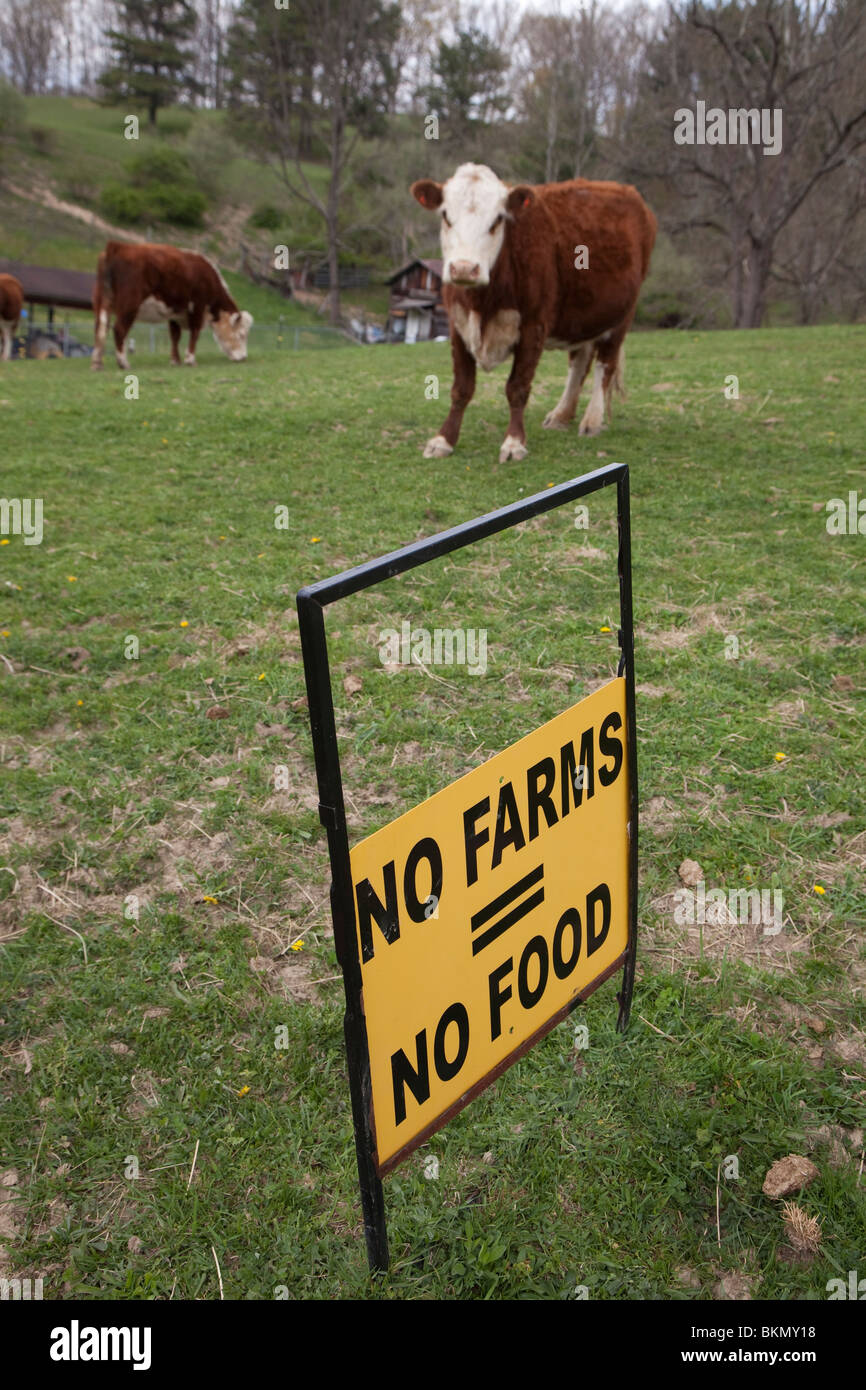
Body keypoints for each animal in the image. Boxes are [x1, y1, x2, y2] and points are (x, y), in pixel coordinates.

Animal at [92, 241, 254, 369]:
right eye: (241, 334)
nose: (244, 357)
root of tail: (117, 247)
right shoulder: (197, 307)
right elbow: (195, 333)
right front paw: (190, 359)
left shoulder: (175, 312)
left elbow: (175, 336)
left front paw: (175, 360)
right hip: (128, 306)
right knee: (119, 329)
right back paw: (123, 362)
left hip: (102, 304)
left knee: (100, 329)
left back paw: (97, 363)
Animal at [408, 164, 653, 461]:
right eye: (445, 215)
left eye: (498, 219)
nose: (464, 268)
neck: (482, 302)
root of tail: (625, 190)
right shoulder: (459, 325)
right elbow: (462, 388)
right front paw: (443, 439)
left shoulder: (533, 326)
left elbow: (517, 388)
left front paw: (513, 443)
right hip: (582, 317)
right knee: (579, 362)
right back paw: (561, 415)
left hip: (620, 318)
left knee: (604, 366)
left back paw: (592, 420)